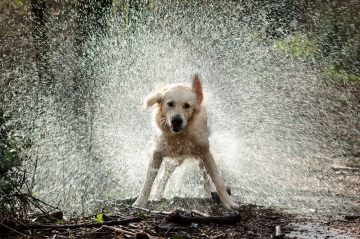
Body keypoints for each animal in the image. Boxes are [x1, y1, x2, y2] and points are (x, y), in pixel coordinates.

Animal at [133, 73, 239, 209]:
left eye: (187, 106)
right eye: (170, 104)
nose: (176, 120)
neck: (179, 135)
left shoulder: (205, 152)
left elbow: (217, 179)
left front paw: (228, 202)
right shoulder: (157, 153)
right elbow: (148, 180)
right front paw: (140, 202)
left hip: (199, 158)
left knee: (205, 175)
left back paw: (207, 193)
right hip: (174, 160)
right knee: (164, 176)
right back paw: (157, 195)